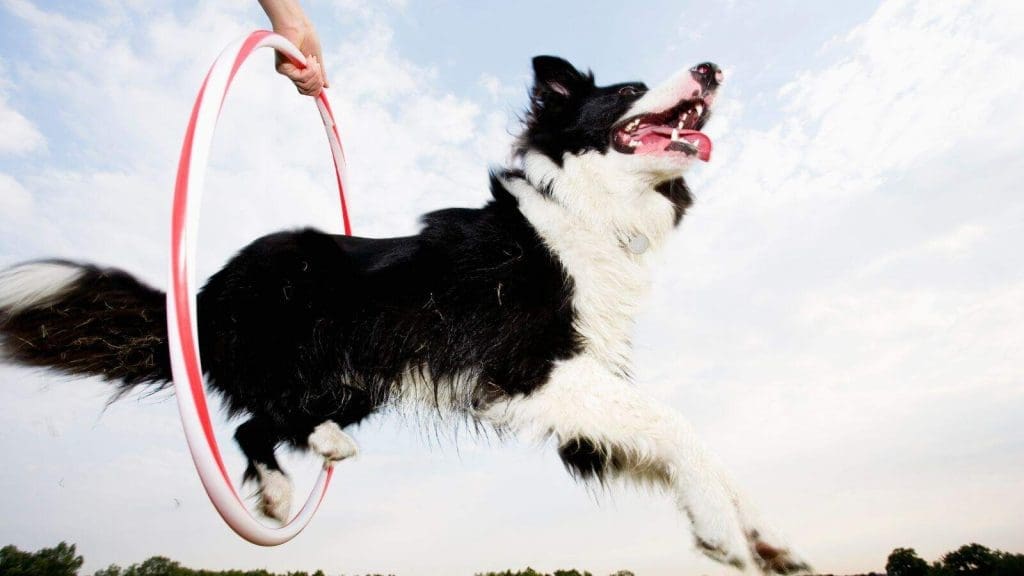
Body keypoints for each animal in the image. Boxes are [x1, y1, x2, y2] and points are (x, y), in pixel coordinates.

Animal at [0, 57, 806, 569]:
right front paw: (721, 529)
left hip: (358, 382)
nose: (711, 68)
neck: (583, 212)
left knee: (259, 423)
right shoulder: (528, 369)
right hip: (309, 341)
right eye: (633, 87)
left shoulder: (581, 404)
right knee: (257, 413)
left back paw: (296, 472)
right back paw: (298, 467)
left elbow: (667, 443)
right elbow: (676, 426)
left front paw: (760, 536)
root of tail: (205, 293)